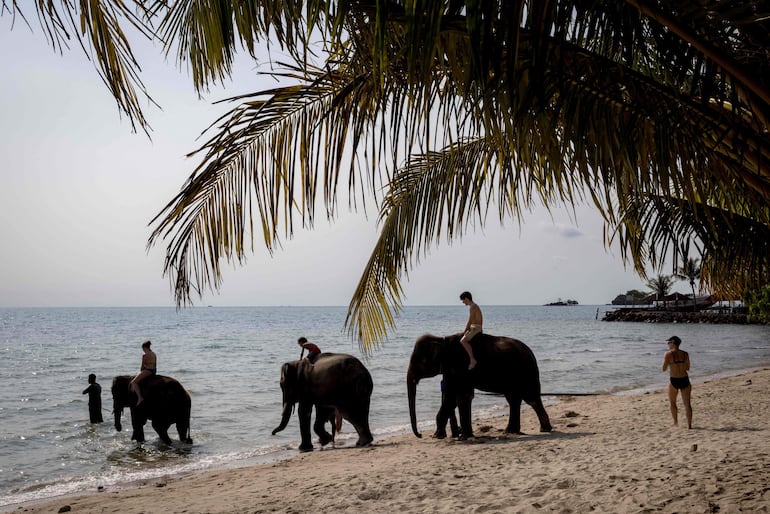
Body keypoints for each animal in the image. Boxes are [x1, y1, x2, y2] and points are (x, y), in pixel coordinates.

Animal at [404, 334, 548, 438]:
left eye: (420, 361)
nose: (420, 434)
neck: (442, 339)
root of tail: (531, 353)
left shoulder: (460, 367)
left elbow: (453, 397)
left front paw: (438, 436)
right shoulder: (454, 370)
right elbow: (463, 396)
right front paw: (466, 435)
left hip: (525, 373)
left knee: (531, 398)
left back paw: (544, 429)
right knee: (513, 400)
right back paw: (510, 431)